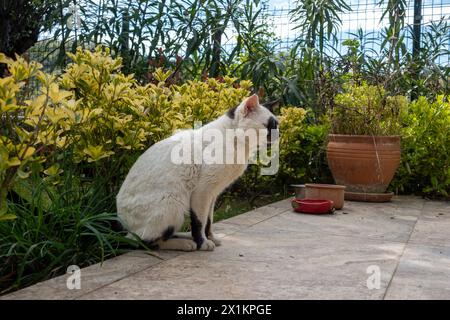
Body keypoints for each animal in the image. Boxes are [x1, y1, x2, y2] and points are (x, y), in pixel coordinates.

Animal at [116, 94, 278, 251]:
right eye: (268, 126)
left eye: (276, 125)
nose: (278, 134)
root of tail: (123, 225)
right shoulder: (202, 192)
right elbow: (199, 222)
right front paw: (203, 243)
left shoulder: (213, 194)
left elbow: (209, 221)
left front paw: (211, 238)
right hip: (173, 203)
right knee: (145, 242)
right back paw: (187, 244)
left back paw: (186, 237)